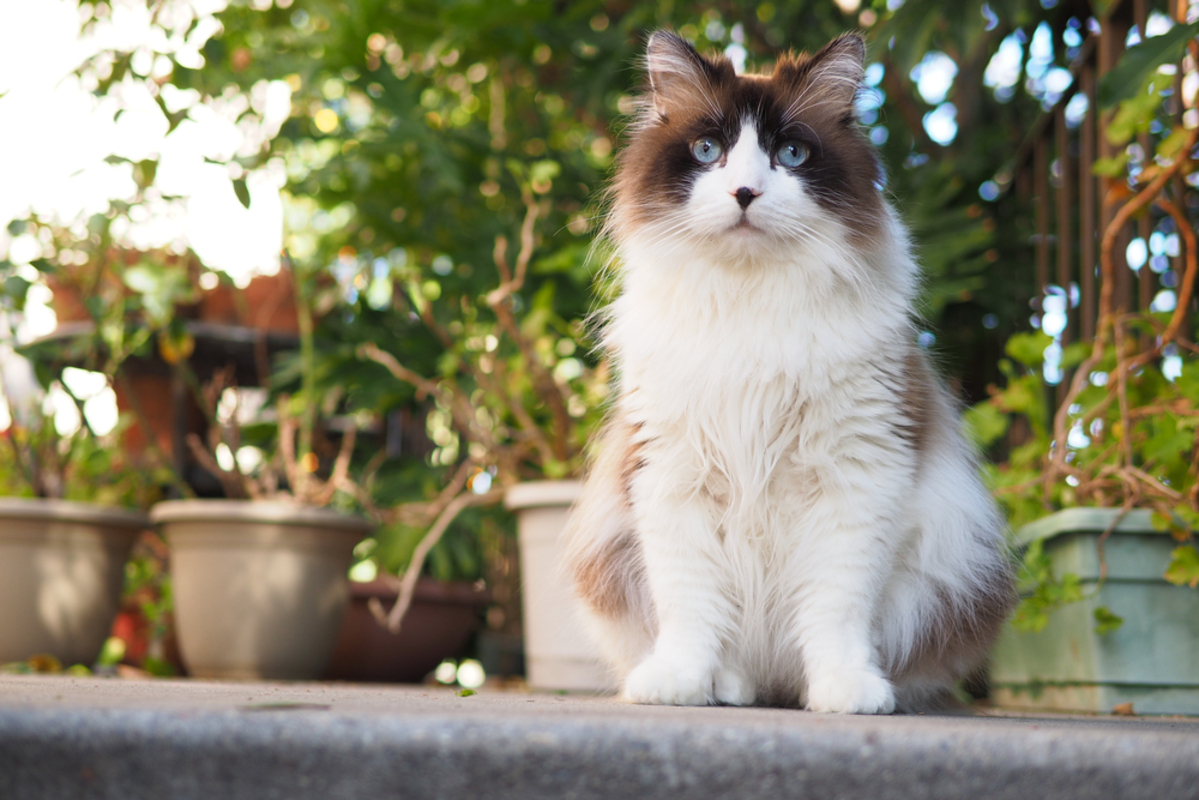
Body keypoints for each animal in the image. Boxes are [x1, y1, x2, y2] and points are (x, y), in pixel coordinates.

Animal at [565, 31, 1016, 714]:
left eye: (792, 154)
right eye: (708, 151)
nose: (745, 193)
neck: (751, 301)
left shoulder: (856, 474)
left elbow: (836, 611)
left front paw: (846, 692)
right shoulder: (673, 475)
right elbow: (690, 607)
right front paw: (678, 684)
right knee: (737, 660)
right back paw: (729, 687)